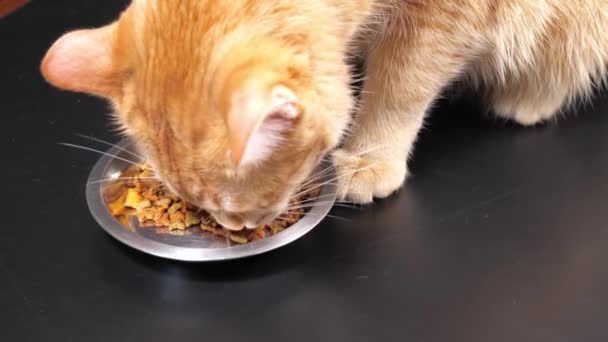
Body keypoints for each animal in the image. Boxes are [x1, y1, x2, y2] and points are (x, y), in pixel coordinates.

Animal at [41, 0, 608, 230]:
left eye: (235, 203)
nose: (234, 226)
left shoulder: (443, 20)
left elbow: (400, 84)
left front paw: (371, 153)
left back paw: (526, 99)